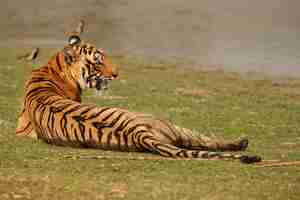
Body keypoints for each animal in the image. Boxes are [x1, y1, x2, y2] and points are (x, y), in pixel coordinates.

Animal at [16, 35, 262, 164]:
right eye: (98, 61)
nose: (117, 74)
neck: (53, 68)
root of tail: (138, 133)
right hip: (170, 124)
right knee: (206, 140)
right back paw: (242, 143)